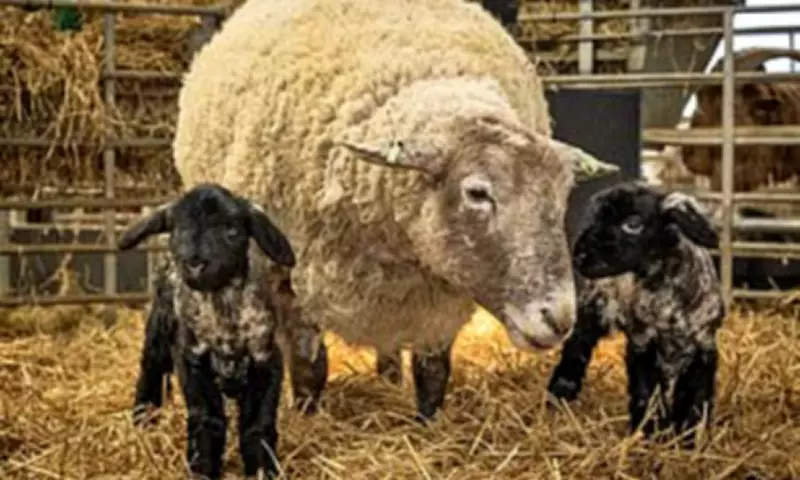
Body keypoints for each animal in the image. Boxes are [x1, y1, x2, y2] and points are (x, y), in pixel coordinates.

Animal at [119, 182, 297, 479]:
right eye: (177, 229)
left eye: (231, 229)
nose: (194, 263)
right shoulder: (193, 362)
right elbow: (207, 421)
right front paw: (203, 468)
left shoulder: (266, 362)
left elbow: (257, 426)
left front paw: (263, 468)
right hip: (159, 328)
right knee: (150, 371)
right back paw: (144, 420)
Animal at [171, 0, 620, 422]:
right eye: (477, 193)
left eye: (562, 196)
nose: (559, 319)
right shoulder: (286, 277)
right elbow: (309, 369)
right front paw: (308, 418)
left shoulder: (439, 299)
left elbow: (432, 372)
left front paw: (428, 425)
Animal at [546, 182, 725, 446]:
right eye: (596, 218)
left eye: (633, 223)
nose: (580, 256)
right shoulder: (642, 344)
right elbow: (645, 392)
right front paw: (651, 433)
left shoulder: (703, 347)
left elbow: (695, 397)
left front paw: (689, 439)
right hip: (594, 304)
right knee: (577, 346)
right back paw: (561, 391)